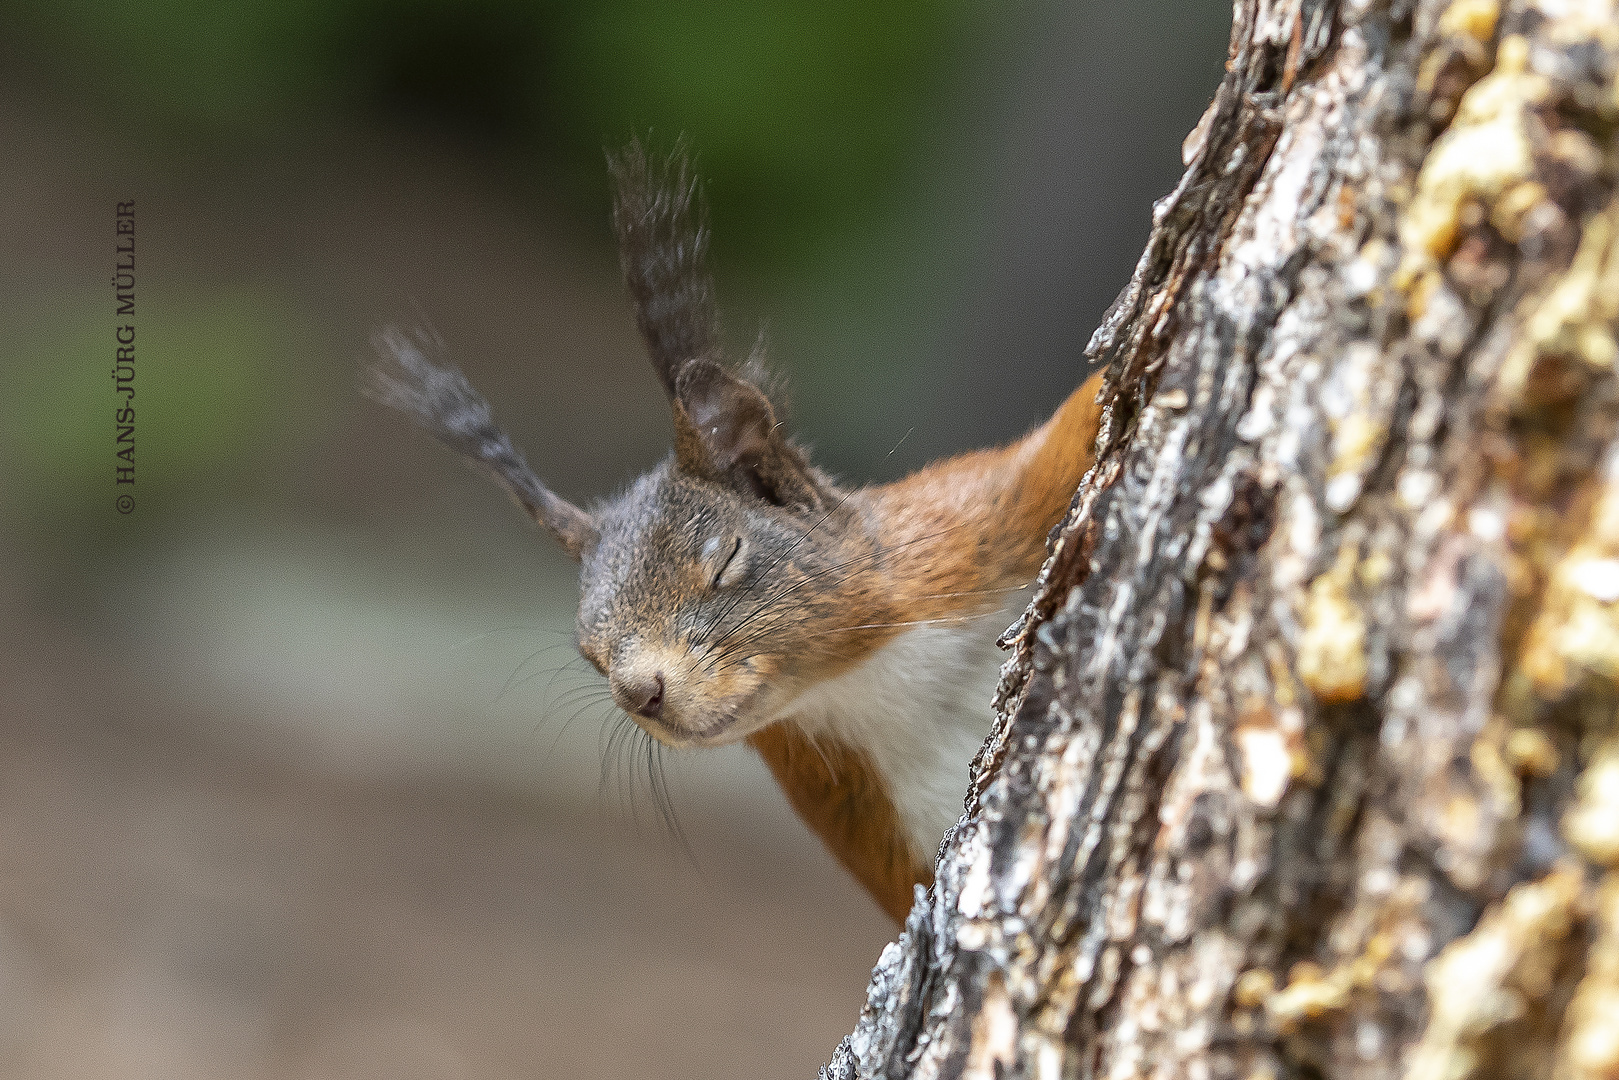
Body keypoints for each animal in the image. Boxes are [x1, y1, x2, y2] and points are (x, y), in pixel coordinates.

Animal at [369, 139, 1107, 926]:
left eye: (725, 559)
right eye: (588, 652)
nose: (641, 693)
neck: (863, 685)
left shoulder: (976, 522)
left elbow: (1078, 422)